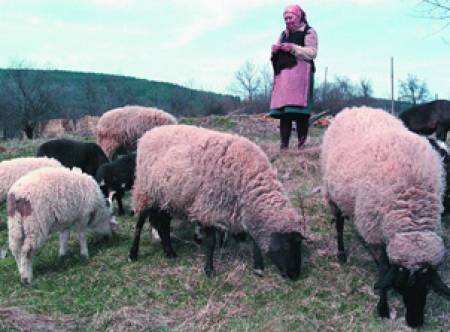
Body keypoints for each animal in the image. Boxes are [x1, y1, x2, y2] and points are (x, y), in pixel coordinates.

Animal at [131, 124, 306, 280]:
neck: (249, 179)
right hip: (145, 191)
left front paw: (258, 267)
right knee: (140, 223)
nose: (295, 275)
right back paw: (133, 254)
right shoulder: (207, 208)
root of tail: (149, 133)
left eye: (299, 246)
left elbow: (253, 239)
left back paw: (170, 252)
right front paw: (209, 270)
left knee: (163, 226)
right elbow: (211, 243)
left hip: (166, 198)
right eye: (286, 246)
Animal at [320, 105, 450, 326]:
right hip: (333, 196)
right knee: (339, 225)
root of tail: (357, 108)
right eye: (403, 284)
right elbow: (382, 268)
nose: (414, 322)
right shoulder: (373, 231)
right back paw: (341, 253)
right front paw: (382, 307)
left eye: (426, 285)